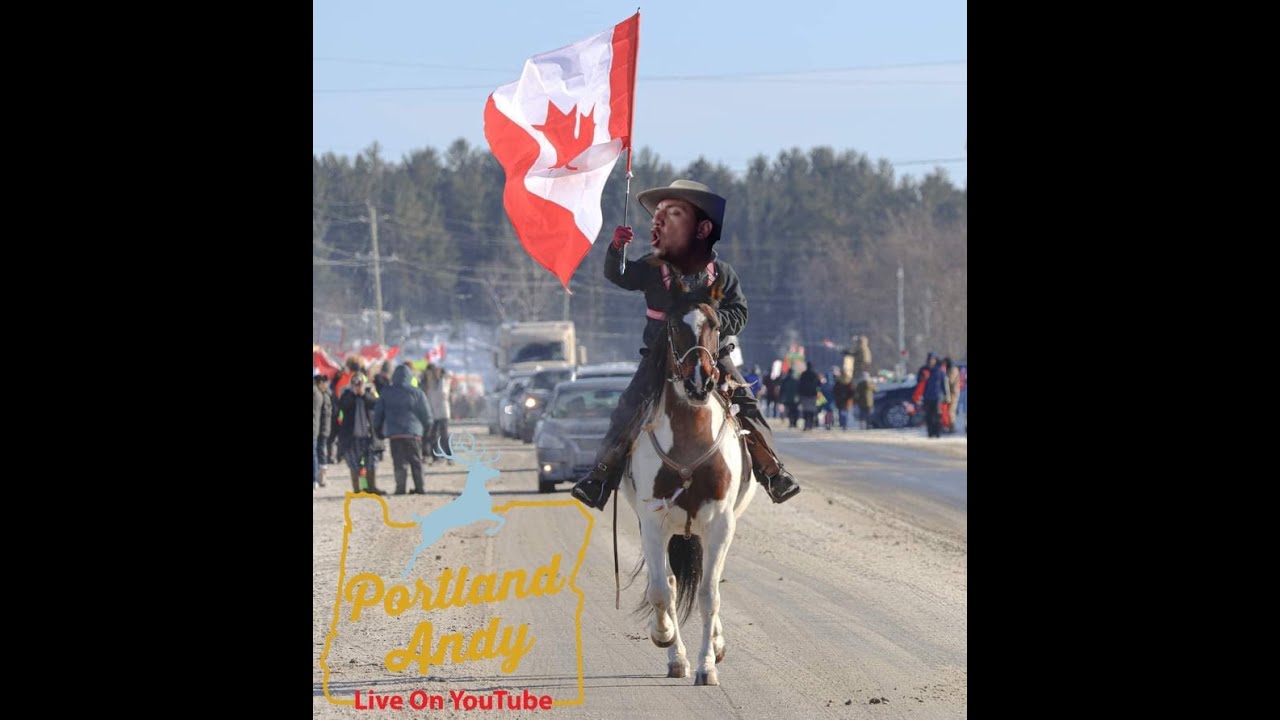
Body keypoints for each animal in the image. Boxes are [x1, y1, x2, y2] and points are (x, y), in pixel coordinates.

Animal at [616, 288, 752, 681]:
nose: (698, 382)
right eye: (675, 325)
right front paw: (665, 638)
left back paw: (715, 647)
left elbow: (709, 594)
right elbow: (662, 590)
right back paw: (675, 656)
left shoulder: (720, 523)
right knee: (672, 584)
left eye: (717, 325)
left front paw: (707, 665)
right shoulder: (652, 522)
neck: (691, 436)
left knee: (708, 583)